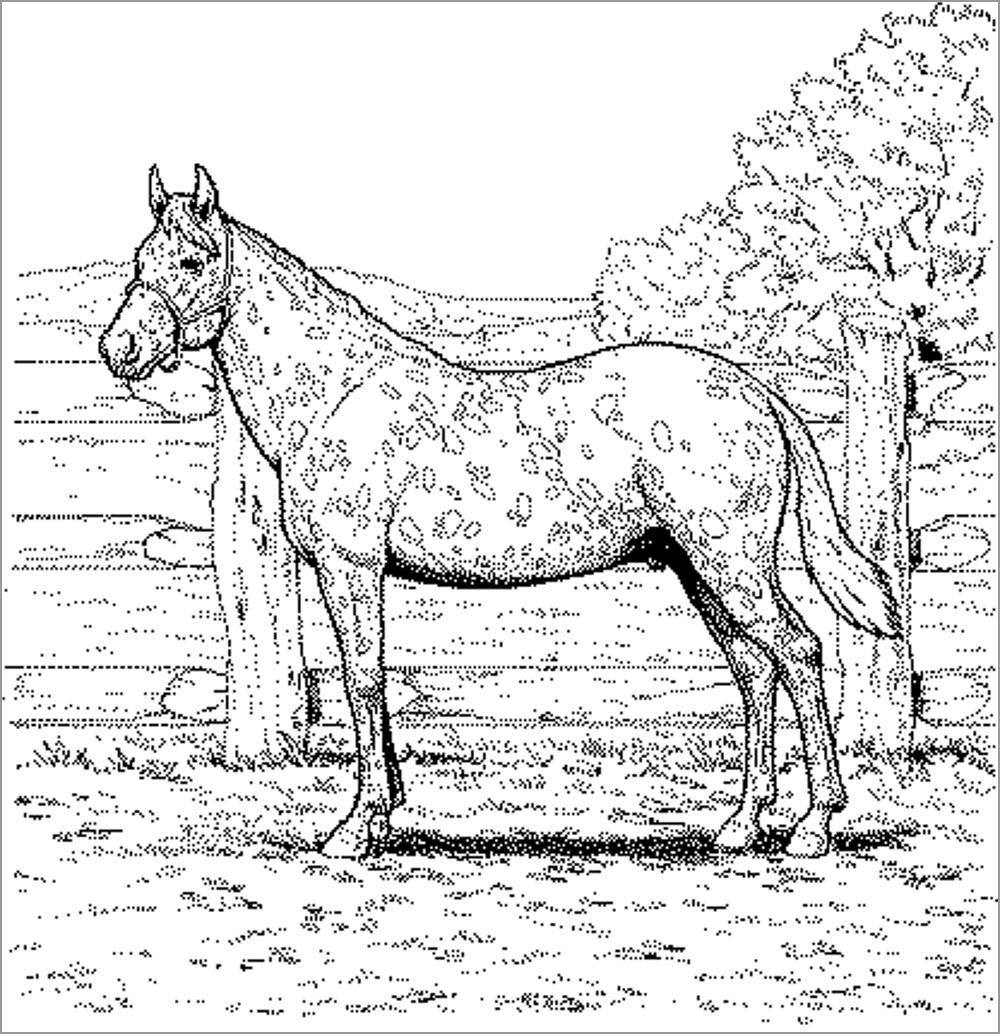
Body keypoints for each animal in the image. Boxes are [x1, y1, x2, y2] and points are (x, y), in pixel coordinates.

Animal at [99, 165, 900, 859]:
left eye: (193, 259)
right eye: (141, 259)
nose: (120, 349)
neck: (334, 391)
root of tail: (757, 391)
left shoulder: (350, 567)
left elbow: (363, 679)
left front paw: (357, 828)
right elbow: (372, 680)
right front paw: (386, 813)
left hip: (730, 563)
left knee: (800, 653)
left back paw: (813, 828)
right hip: (694, 566)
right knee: (754, 670)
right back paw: (740, 824)